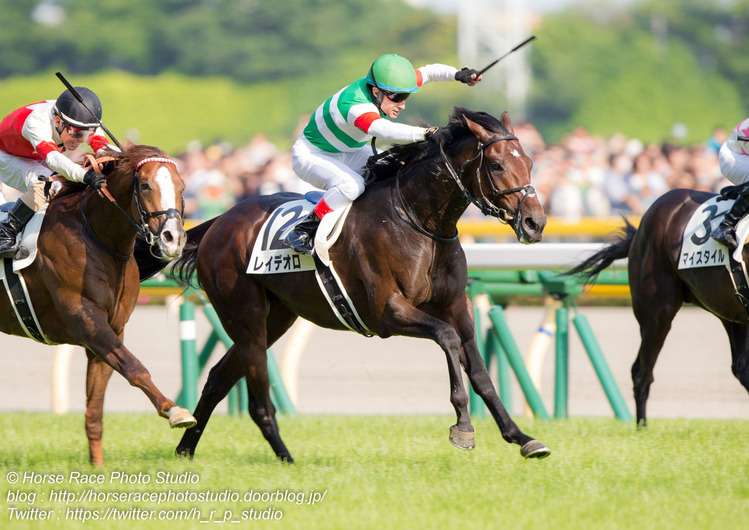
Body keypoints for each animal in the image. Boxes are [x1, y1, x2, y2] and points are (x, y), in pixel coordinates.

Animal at [0, 144, 196, 462]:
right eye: (145, 185)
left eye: (182, 187)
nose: (173, 240)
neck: (97, 237)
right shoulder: (88, 324)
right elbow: (135, 368)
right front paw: (175, 411)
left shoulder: (110, 331)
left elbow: (95, 408)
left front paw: (98, 467)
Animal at [139, 106, 548, 458]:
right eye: (496, 164)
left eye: (529, 162)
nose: (535, 223)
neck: (420, 221)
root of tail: (217, 224)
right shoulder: (387, 312)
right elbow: (446, 338)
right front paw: (463, 427)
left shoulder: (455, 305)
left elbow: (478, 371)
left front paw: (521, 437)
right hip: (245, 316)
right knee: (256, 397)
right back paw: (284, 457)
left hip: (275, 318)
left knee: (219, 377)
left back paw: (186, 449)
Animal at [568, 189, 748, 424]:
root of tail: (640, 229)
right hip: (657, 314)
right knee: (641, 372)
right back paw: (641, 427)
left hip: (728, 308)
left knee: (742, 366)